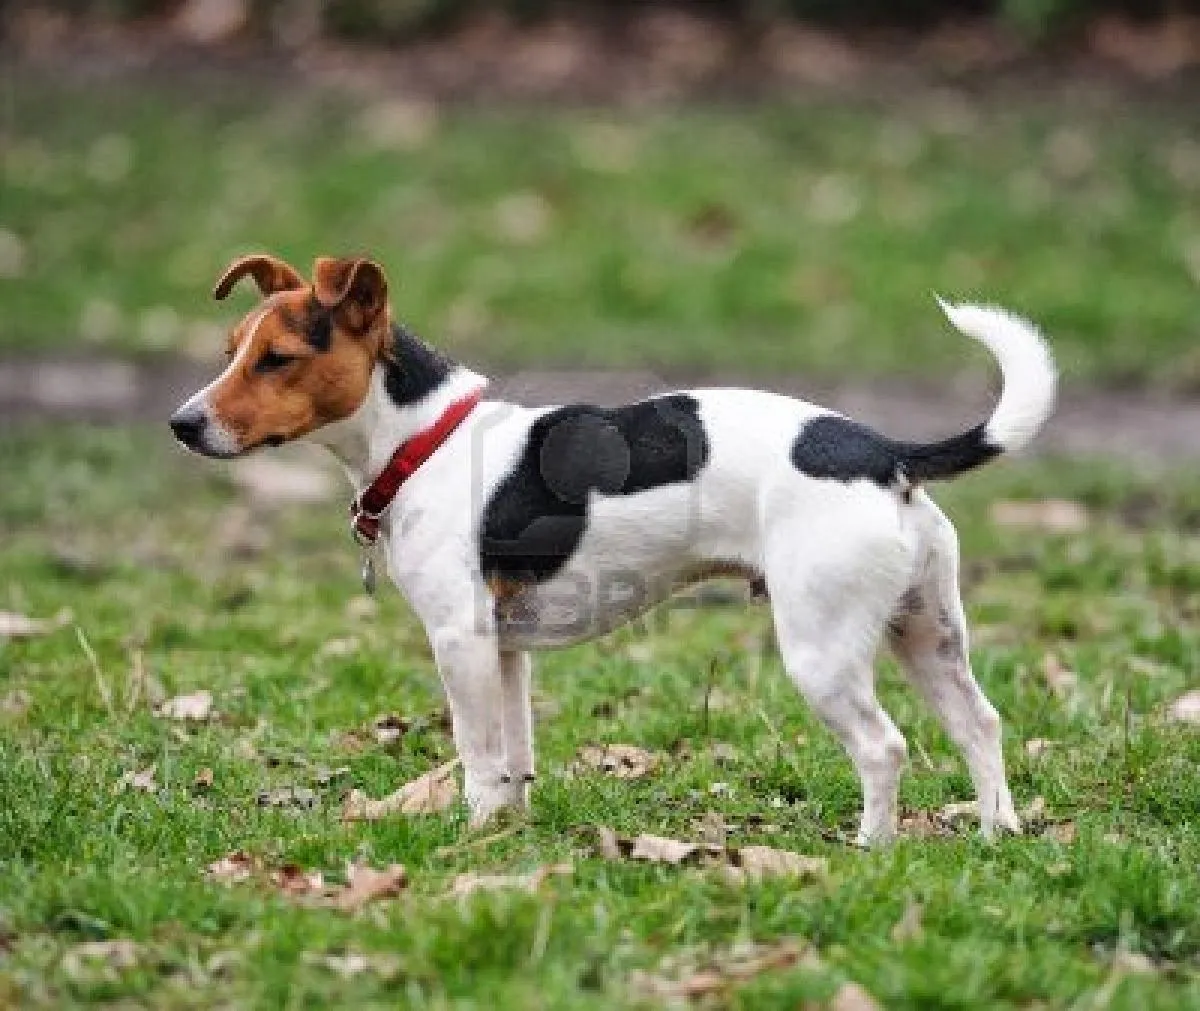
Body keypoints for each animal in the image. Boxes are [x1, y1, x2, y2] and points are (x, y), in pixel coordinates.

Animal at [171, 254, 1060, 845]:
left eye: (278, 359)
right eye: (230, 350)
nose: (182, 423)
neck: (425, 440)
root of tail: (885, 452)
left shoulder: (459, 641)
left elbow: (476, 754)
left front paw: (473, 836)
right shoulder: (505, 651)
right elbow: (515, 754)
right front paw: (511, 832)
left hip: (823, 649)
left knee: (884, 747)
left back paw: (871, 848)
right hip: (926, 633)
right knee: (980, 724)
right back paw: (998, 832)